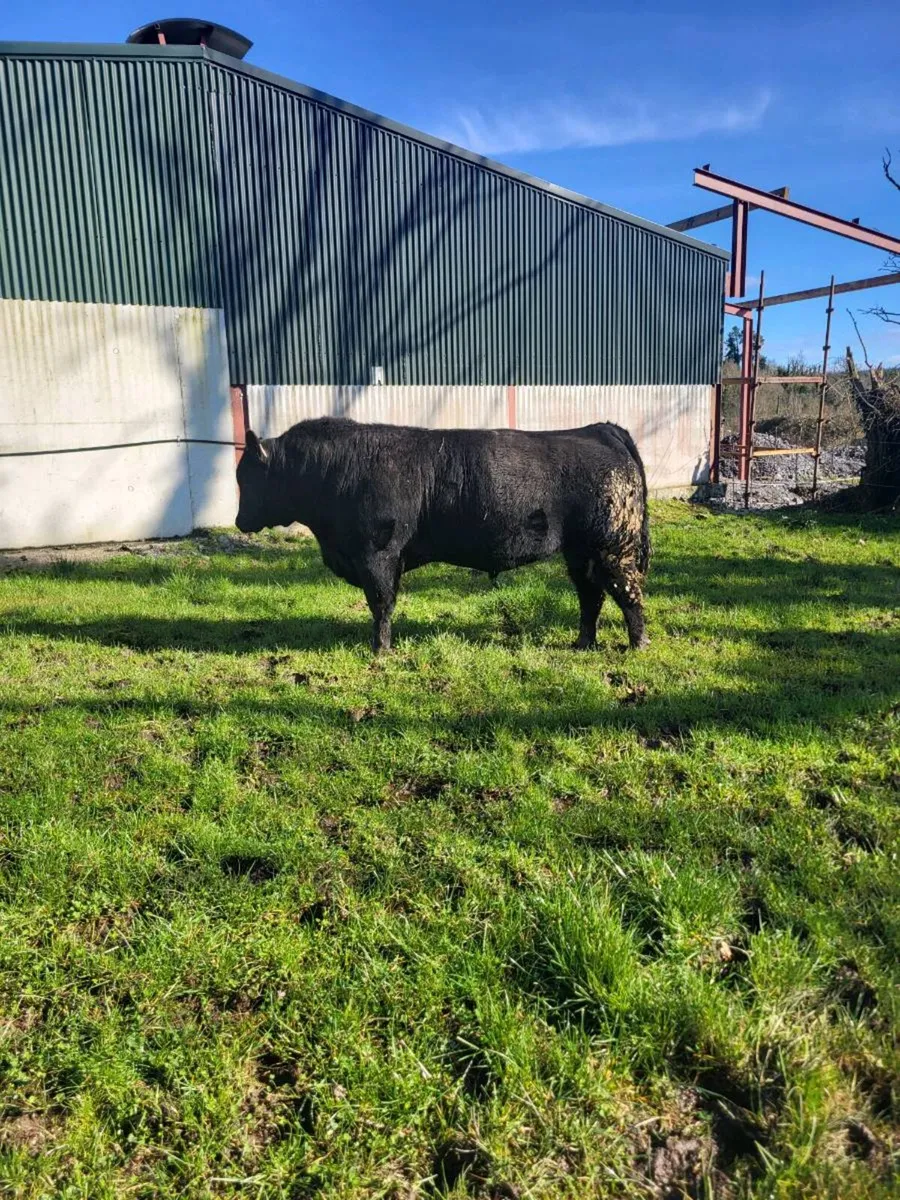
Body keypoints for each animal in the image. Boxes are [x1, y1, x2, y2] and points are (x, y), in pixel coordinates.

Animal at [235, 417, 651, 654]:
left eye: (248, 476)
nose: (239, 521)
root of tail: (600, 430)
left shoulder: (377, 554)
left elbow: (381, 604)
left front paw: (380, 651)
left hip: (613, 547)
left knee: (628, 593)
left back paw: (637, 646)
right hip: (580, 552)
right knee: (591, 596)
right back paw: (583, 644)